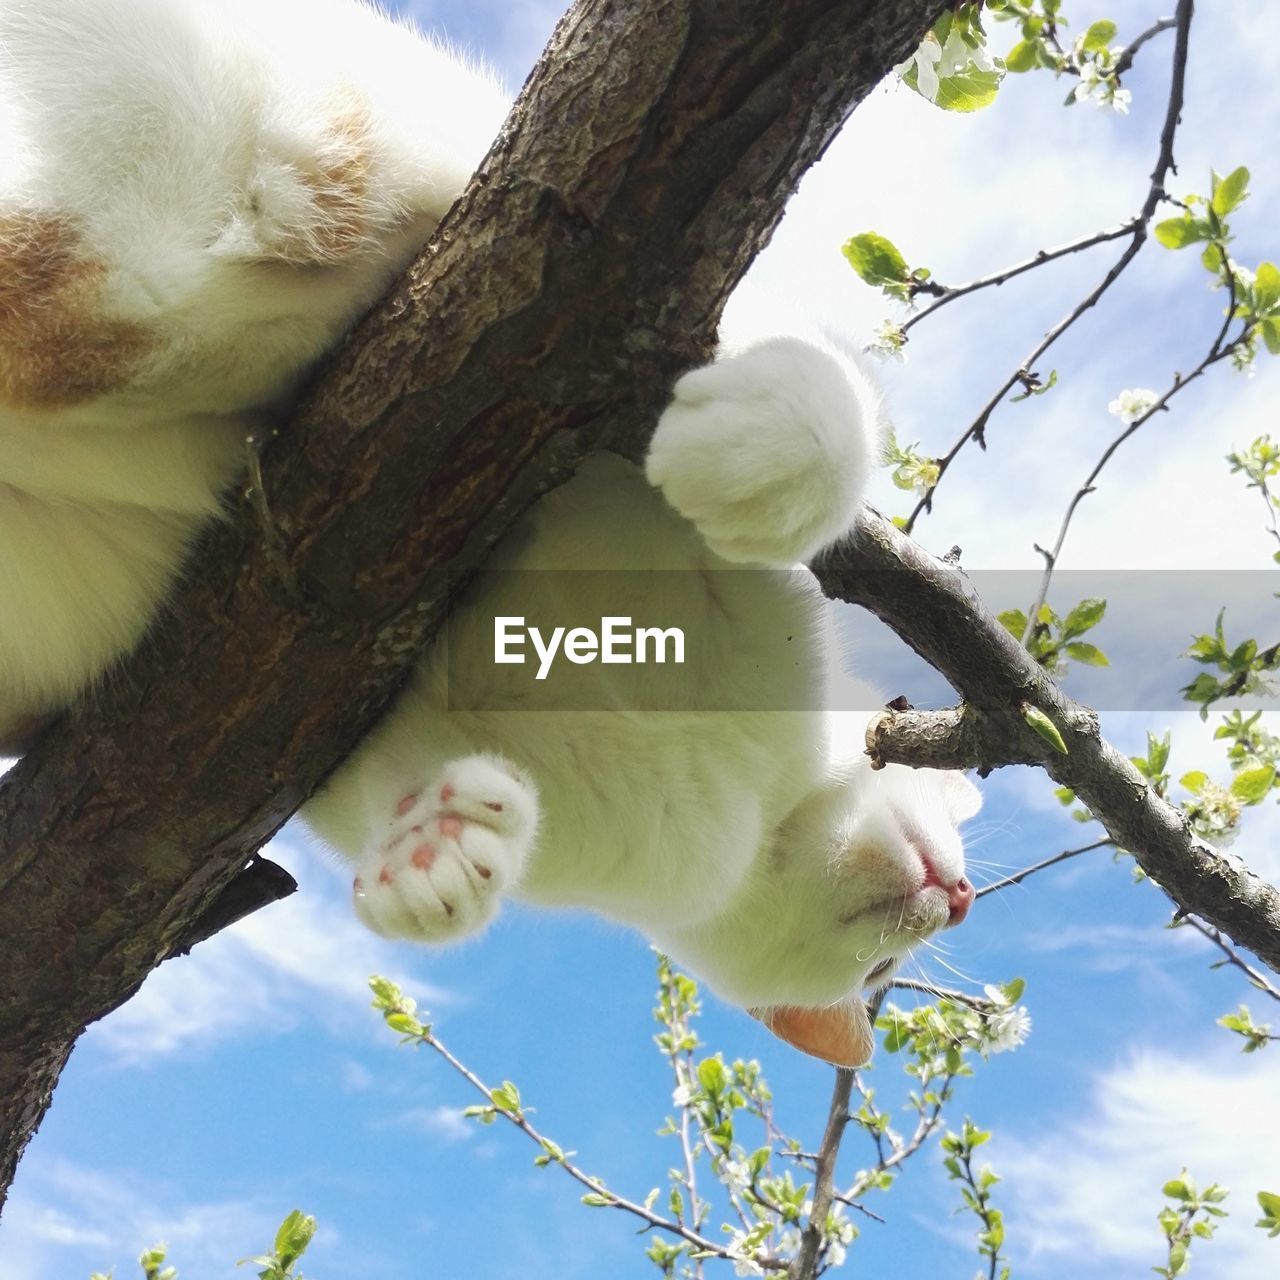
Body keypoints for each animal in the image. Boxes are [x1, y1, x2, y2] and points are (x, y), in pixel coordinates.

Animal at [0, 0, 977, 1064]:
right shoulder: (660, 328)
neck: (754, 808)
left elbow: (398, 797)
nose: (960, 895)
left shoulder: (361, 740)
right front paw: (746, 459)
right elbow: (819, 399)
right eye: (884, 972)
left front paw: (432, 861)